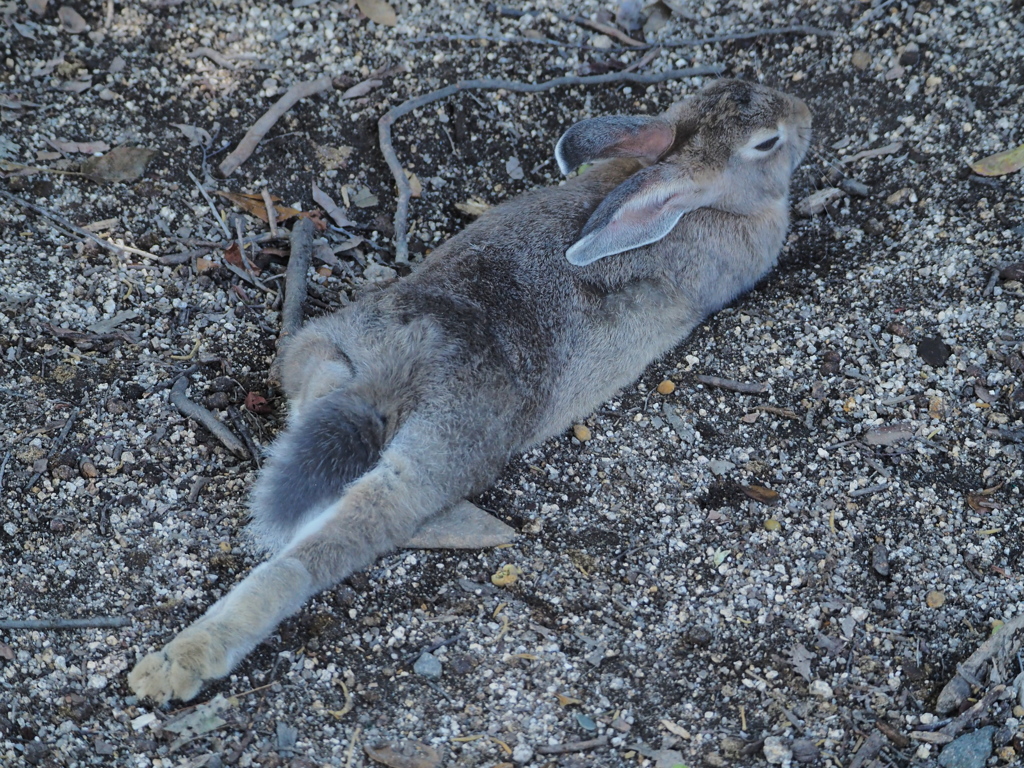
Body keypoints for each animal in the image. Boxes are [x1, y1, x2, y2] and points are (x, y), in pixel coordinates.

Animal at [130, 78, 815, 704]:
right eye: (767, 142)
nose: (803, 112)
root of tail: (406, 363)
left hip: (330, 342)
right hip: (445, 451)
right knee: (340, 536)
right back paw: (181, 663)